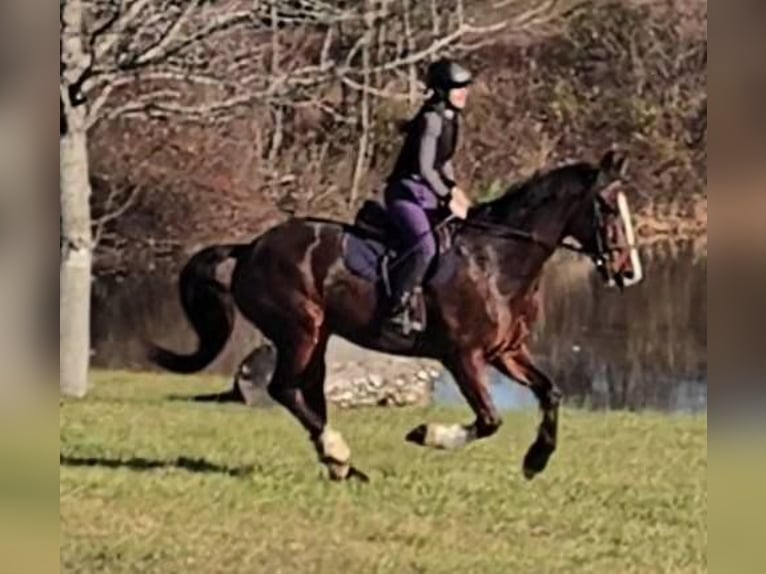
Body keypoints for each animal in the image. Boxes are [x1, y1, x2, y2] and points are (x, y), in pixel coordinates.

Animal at [149, 150, 642, 482]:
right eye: (606, 207)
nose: (628, 271)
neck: (497, 259)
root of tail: (250, 247)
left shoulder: (506, 352)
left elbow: (550, 393)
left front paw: (536, 460)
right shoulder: (463, 357)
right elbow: (489, 420)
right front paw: (426, 434)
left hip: (318, 336)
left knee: (309, 394)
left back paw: (341, 465)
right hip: (299, 330)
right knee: (284, 389)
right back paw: (338, 454)